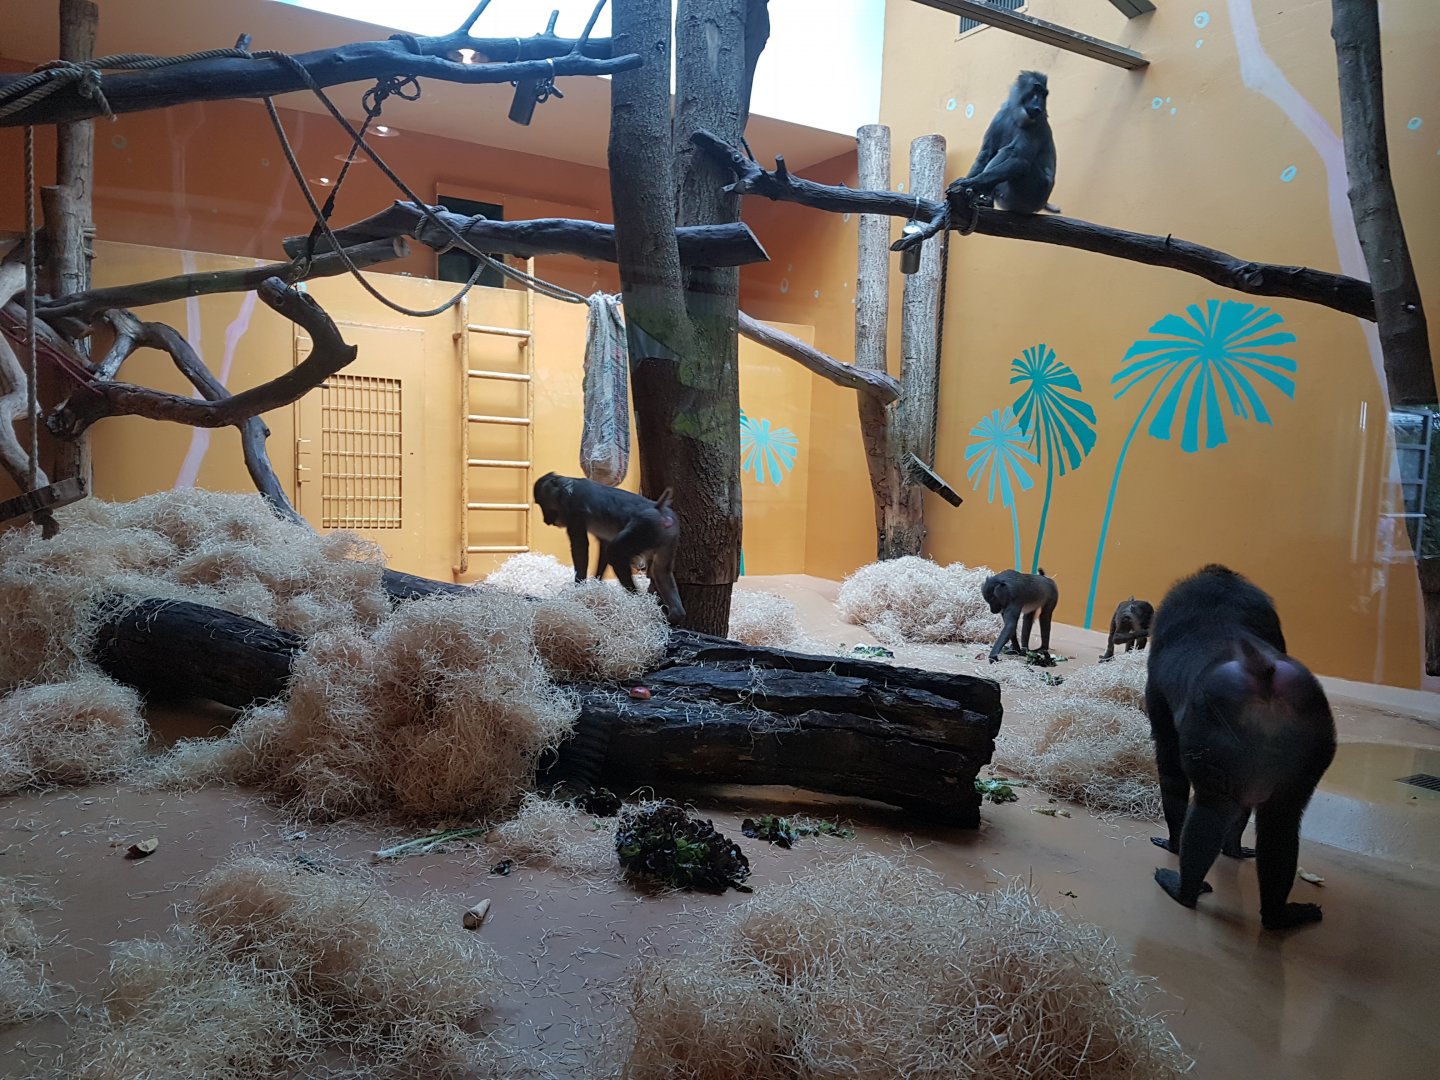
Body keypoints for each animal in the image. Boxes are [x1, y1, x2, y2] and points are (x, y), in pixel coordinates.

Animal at [532, 472, 686, 626]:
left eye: (542, 504)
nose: (546, 519)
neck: (564, 487)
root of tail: (658, 508)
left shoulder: (574, 512)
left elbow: (581, 548)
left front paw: (580, 590)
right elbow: (604, 547)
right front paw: (597, 584)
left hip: (643, 529)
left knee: (615, 553)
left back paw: (639, 604)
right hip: (668, 539)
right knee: (661, 571)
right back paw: (675, 615)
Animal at [948, 70, 1059, 219]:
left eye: (1044, 94)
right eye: (1037, 89)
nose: (1038, 107)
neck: (1016, 114)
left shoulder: (1037, 124)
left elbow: (1020, 160)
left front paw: (971, 182)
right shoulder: (1000, 116)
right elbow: (986, 154)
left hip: (1034, 192)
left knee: (1009, 152)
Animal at [1144, 564, 1336, 931]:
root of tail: (1263, 676)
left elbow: (1171, 771)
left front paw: (1172, 843)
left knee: (1209, 809)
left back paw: (1183, 888)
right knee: (1282, 822)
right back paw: (1279, 915)